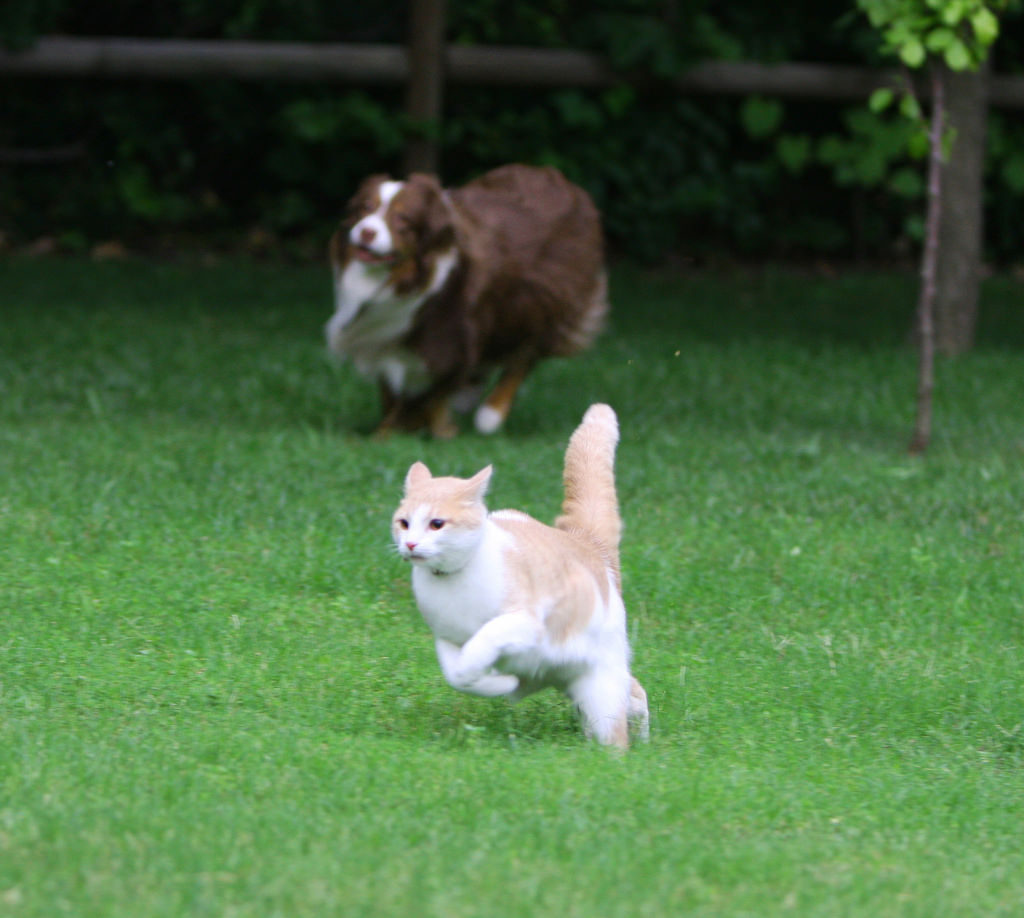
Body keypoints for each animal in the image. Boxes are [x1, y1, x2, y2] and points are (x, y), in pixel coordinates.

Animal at [325, 163, 606, 438]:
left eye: (402, 219)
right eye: (365, 208)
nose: (366, 232)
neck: (399, 279)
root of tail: (565, 182)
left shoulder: (446, 338)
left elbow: (423, 396)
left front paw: (399, 432)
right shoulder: (383, 335)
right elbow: (391, 391)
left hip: (542, 299)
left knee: (526, 354)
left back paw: (491, 413)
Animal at [391, 405, 647, 749]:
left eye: (436, 524)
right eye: (404, 523)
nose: (410, 544)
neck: (451, 581)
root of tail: (585, 541)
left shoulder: (524, 623)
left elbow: (482, 641)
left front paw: (500, 676)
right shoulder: (446, 639)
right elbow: (459, 675)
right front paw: (501, 682)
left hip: (600, 687)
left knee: (625, 714)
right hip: (573, 683)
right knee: (630, 695)